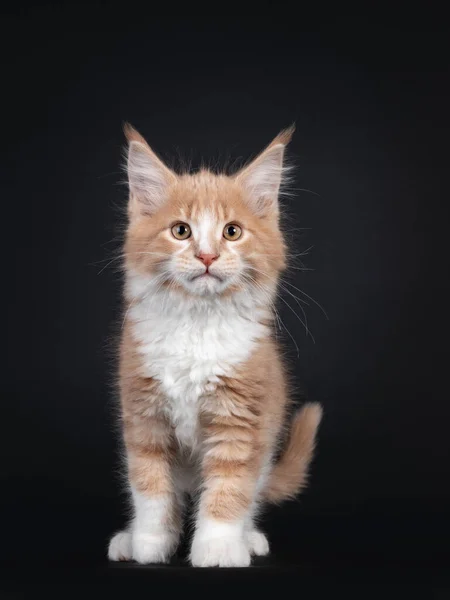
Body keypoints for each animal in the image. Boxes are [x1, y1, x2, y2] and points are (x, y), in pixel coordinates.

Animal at [107, 123, 322, 568]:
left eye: (232, 232)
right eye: (181, 231)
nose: (207, 256)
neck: (197, 323)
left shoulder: (241, 419)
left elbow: (229, 490)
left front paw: (219, 548)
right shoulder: (144, 415)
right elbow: (150, 488)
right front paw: (149, 543)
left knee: (252, 493)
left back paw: (249, 539)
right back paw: (129, 539)